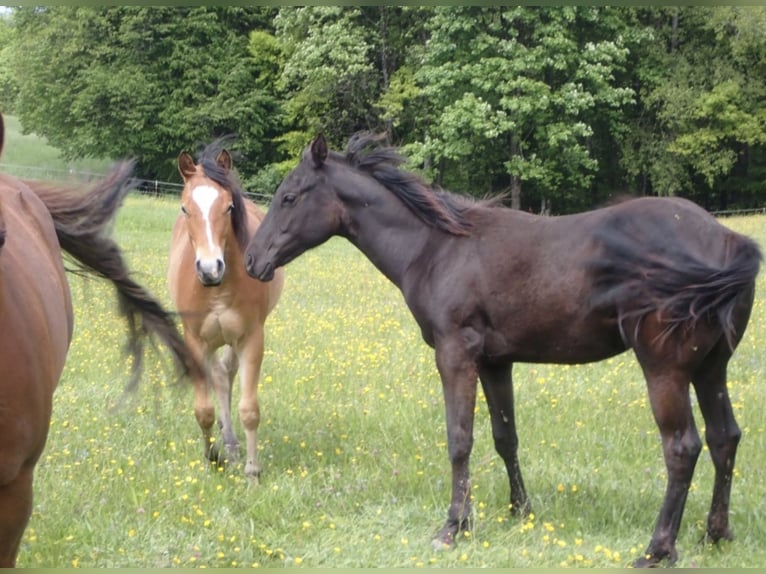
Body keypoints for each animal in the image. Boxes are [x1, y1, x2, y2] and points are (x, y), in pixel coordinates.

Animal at [168, 142, 284, 480]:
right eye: (185, 208)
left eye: (229, 208)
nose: (210, 269)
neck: (216, 290)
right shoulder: (195, 341)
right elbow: (203, 410)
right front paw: (211, 458)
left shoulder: (251, 339)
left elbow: (249, 410)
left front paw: (252, 472)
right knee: (219, 376)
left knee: (227, 374)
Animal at [244, 133, 760, 568]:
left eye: (290, 197)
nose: (251, 260)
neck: (437, 248)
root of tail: (727, 239)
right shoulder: (495, 362)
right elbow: (504, 436)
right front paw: (520, 511)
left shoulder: (455, 354)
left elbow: (459, 439)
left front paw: (453, 526)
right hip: (710, 367)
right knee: (725, 437)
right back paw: (715, 533)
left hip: (664, 370)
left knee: (682, 447)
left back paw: (657, 549)